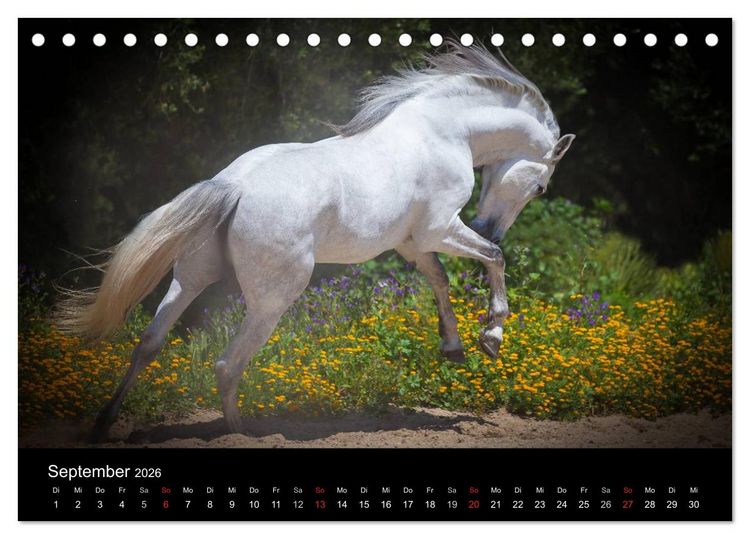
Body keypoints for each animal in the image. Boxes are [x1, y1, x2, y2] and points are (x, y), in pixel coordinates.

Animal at [55, 41, 575, 441]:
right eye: (541, 187)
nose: (490, 225)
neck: (448, 131)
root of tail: (232, 185)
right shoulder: (439, 229)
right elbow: (494, 260)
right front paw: (491, 336)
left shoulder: (411, 242)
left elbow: (440, 280)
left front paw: (454, 346)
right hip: (274, 298)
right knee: (226, 364)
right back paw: (243, 433)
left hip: (191, 278)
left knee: (148, 343)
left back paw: (103, 425)